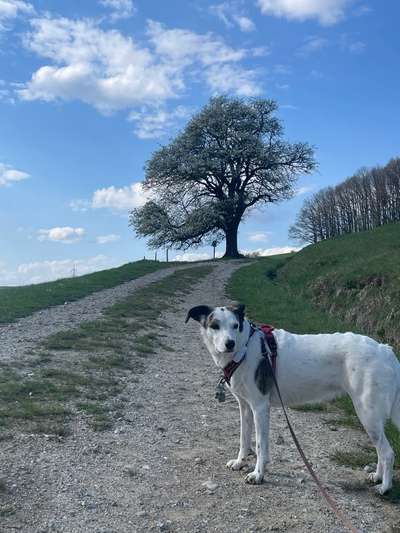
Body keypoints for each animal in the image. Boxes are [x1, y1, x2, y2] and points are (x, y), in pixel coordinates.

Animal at [186, 304, 398, 494]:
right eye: (215, 326)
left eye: (235, 325)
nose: (229, 343)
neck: (244, 347)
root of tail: (385, 350)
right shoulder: (245, 406)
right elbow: (244, 438)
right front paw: (240, 462)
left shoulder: (260, 407)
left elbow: (260, 444)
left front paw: (258, 474)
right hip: (371, 417)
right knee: (380, 450)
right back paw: (377, 477)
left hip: (367, 413)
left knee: (387, 453)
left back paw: (384, 487)